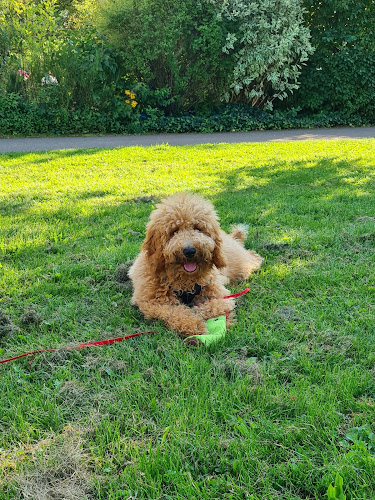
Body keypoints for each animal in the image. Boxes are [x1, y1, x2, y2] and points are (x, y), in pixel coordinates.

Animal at [129, 191, 264, 340]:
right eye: (174, 231)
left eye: (198, 228)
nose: (189, 251)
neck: (184, 280)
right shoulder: (151, 302)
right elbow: (175, 311)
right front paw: (193, 325)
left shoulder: (218, 293)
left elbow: (217, 305)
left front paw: (204, 315)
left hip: (240, 264)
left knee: (253, 257)